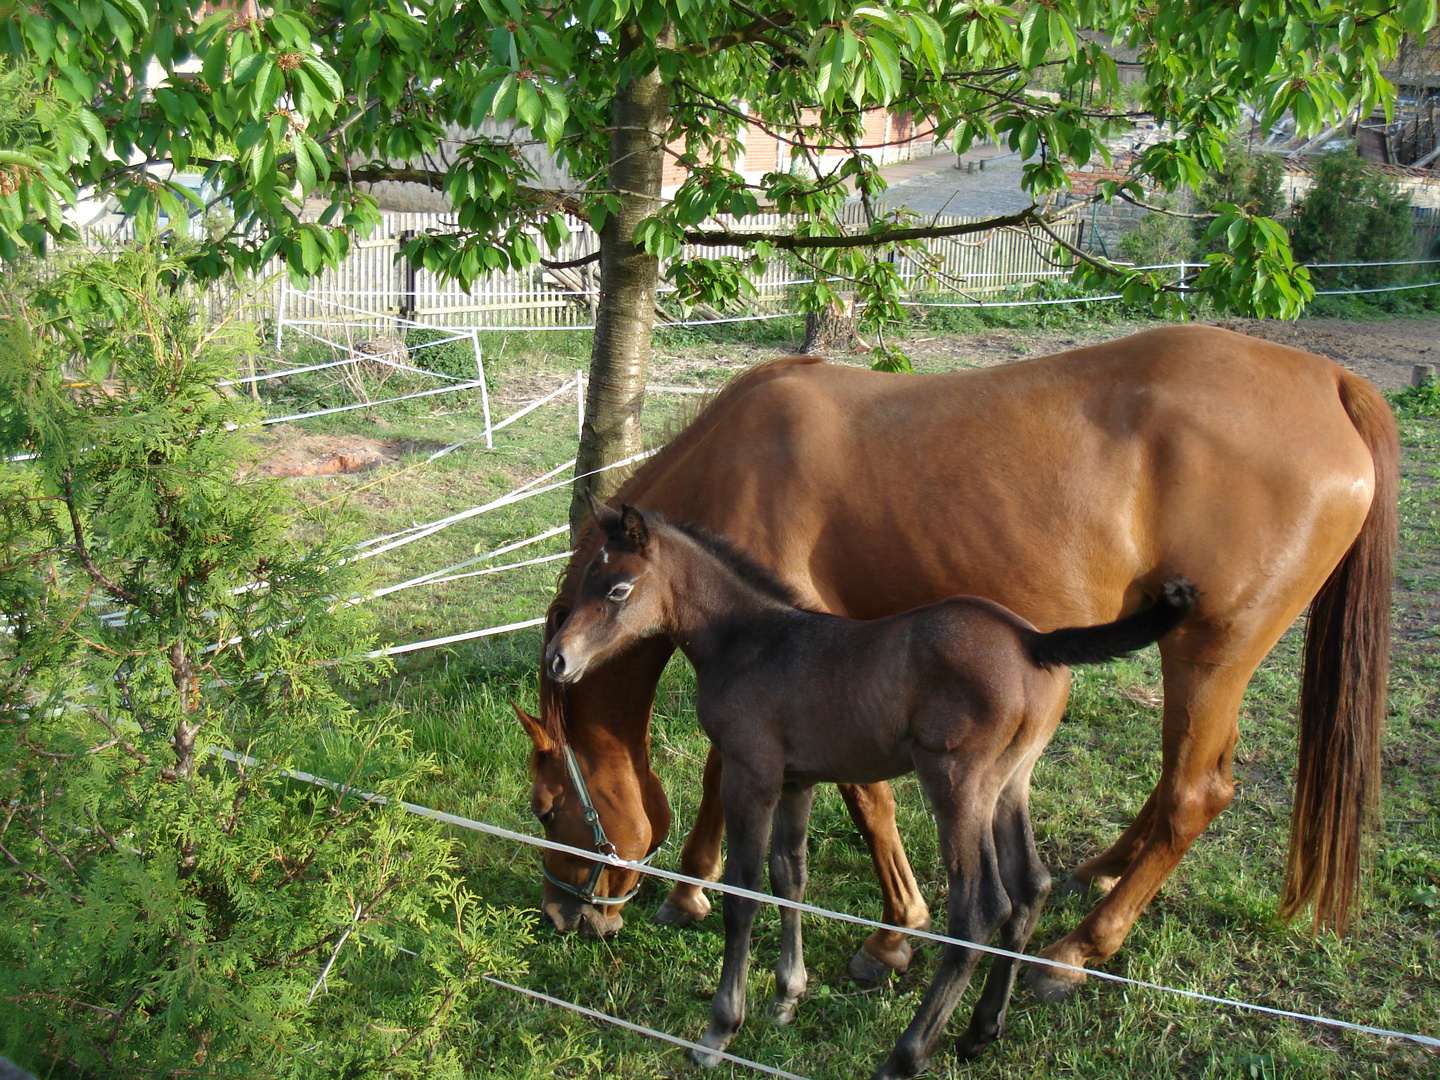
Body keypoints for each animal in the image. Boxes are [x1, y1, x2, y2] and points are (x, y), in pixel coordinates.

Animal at [544, 504, 1198, 1077]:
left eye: (617, 589)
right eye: (589, 577)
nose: (558, 660)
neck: (750, 641)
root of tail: (1032, 640)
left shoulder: (752, 775)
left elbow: (744, 894)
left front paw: (718, 1032)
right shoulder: (797, 781)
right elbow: (791, 878)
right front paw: (787, 997)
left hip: (957, 786)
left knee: (981, 907)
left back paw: (906, 1056)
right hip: (1011, 783)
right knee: (1030, 885)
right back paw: (980, 1032)